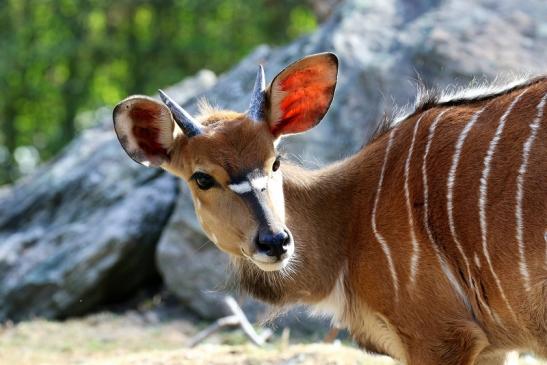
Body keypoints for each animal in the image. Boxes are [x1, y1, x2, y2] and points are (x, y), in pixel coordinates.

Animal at [112, 52, 547, 364]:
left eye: (275, 160)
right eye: (202, 178)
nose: (275, 241)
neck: (352, 217)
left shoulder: (441, 335)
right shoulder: (488, 346)